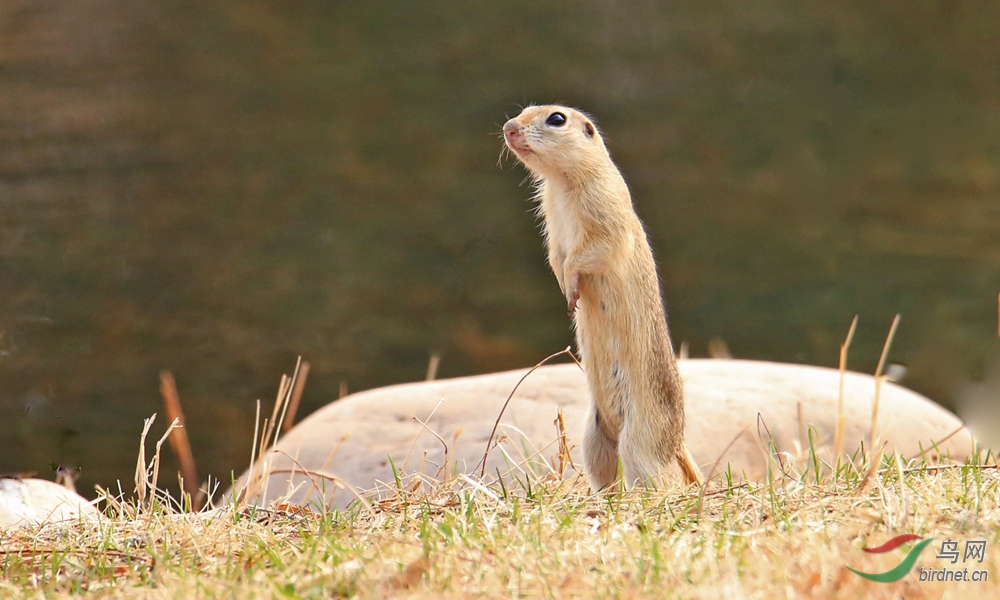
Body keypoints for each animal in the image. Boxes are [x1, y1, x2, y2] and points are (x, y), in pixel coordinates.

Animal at [500, 105, 704, 492]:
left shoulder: (605, 216)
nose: (508, 128)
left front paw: (572, 291)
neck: (562, 182)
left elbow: (591, 253)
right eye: (522, 111)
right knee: (606, 476)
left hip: (639, 441)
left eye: (557, 119)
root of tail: (678, 442)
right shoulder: (553, 225)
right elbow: (557, 256)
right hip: (593, 438)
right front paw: (566, 292)